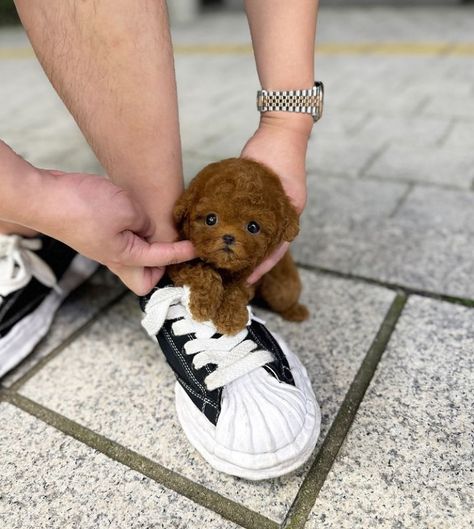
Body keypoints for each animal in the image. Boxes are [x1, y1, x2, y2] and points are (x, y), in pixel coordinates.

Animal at [168, 157, 310, 334]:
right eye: (210, 219)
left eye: (253, 227)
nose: (229, 237)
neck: (224, 267)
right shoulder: (179, 262)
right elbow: (204, 272)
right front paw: (204, 305)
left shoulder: (249, 274)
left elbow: (237, 290)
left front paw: (231, 317)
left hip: (282, 286)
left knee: (285, 296)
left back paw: (296, 311)